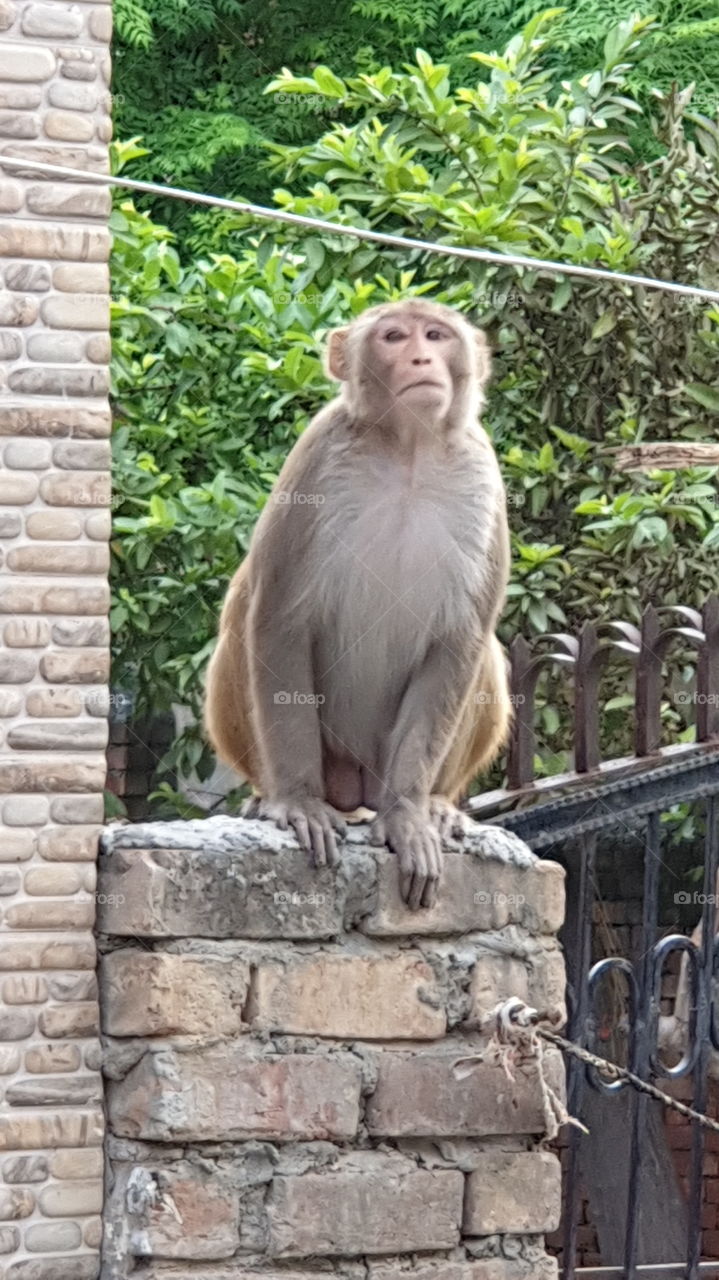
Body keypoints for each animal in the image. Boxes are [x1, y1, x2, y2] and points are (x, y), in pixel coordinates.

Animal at [204, 298, 511, 909]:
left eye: (435, 335)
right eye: (393, 337)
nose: (420, 358)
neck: (409, 450)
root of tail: (356, 785)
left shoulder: (484, 475)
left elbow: (460, 642)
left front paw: (409, 817)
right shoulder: (316, 457)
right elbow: (279, 619)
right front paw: (299, 801)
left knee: (486, 652)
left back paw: (437, 804)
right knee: (240, 629)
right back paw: (268, 794)